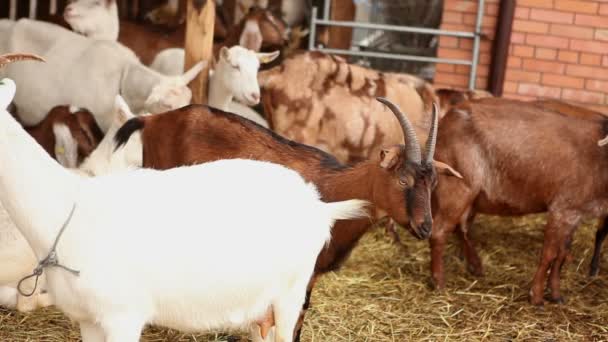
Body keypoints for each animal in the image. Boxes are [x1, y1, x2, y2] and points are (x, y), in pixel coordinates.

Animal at [109, 98, 460, 340]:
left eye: (433, 184)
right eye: (402, 180)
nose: (425, 227)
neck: (336, 187)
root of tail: (153, 118)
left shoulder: (311, 274)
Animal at [430, 98, 608, 304]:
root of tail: (448, 118)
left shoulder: (575, 214)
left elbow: (562, 254)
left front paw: (556, 295)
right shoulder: (561, 209)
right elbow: (549, 254)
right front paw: (536, 297)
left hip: (471, 195)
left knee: (462, 227)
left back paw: (475, 266)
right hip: (457, 186)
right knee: (439, 231)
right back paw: (439, 282)